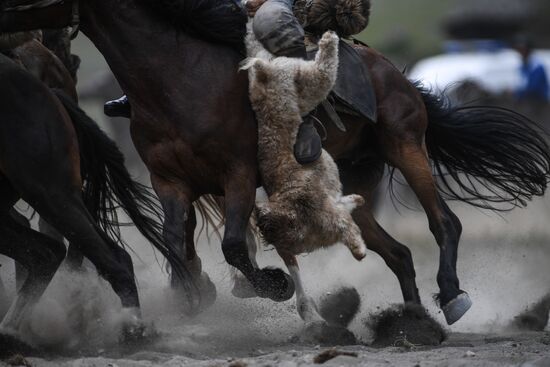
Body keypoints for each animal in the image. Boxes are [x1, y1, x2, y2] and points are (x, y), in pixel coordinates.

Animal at [5, 0, 550, 326]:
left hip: (405, 143)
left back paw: (451, 296)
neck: (174, 76)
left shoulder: (239, 175)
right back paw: (409, 324)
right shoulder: (170, 182)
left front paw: (272, 285)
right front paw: (194, 298)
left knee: (445, 223)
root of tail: (395, 72)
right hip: (354, 182)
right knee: (396, 253)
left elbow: (231, 245)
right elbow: (174, 242)